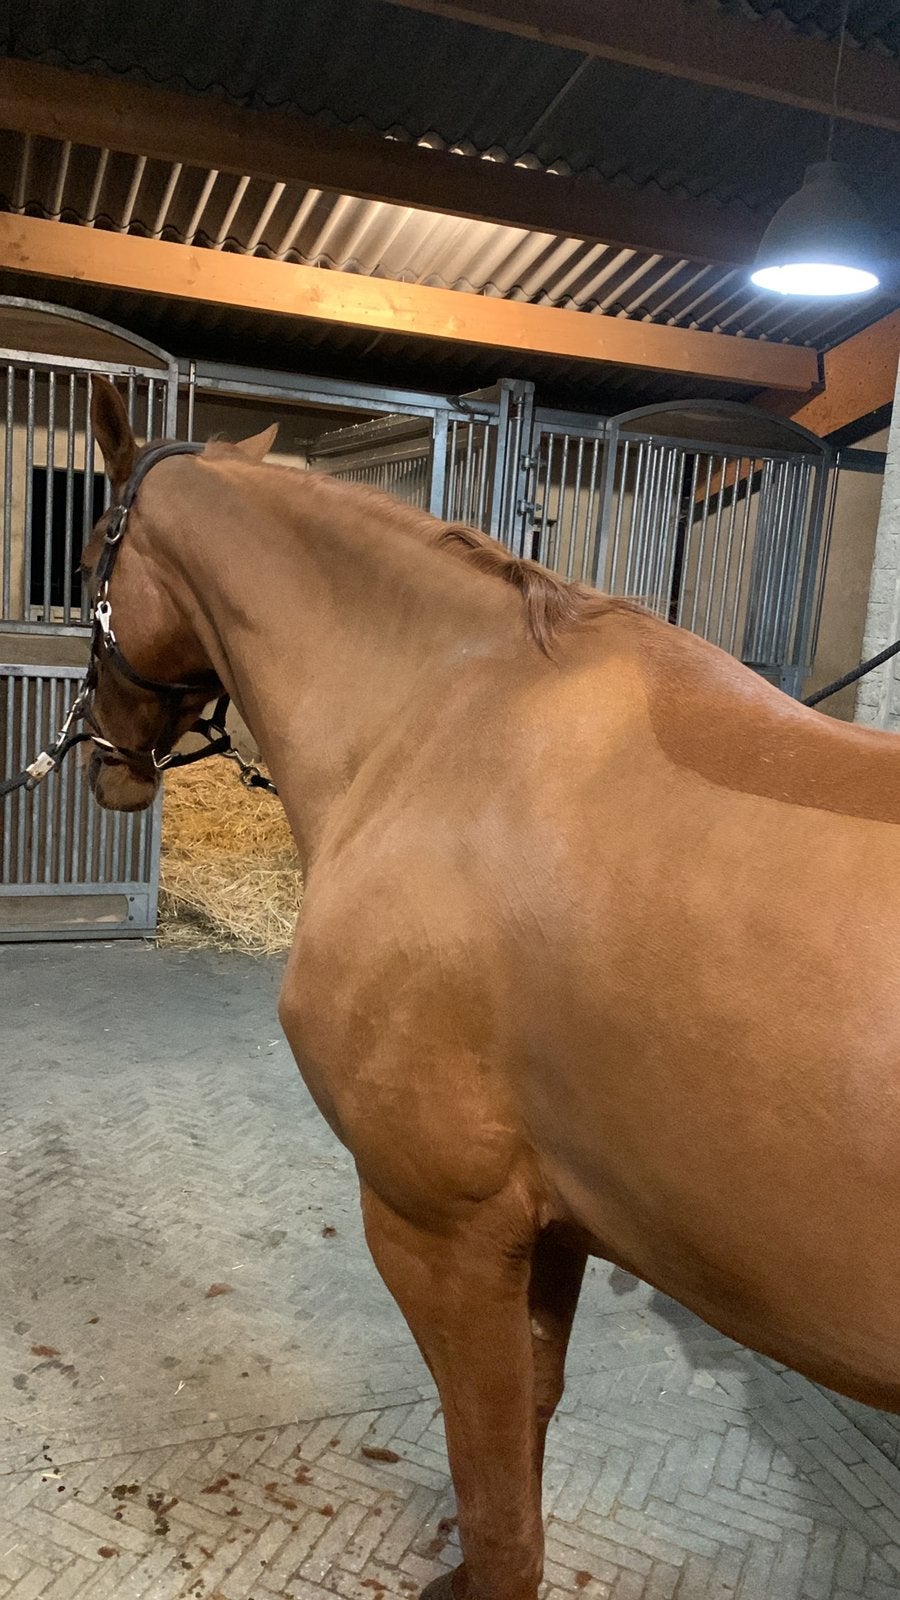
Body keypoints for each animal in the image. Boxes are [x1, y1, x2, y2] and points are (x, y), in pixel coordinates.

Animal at [82, 375, 900, 1600]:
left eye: (93, 544)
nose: (99, 760)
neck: (440, 722)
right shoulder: (553, 1228)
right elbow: (530, 1429)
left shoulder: (441, 1231)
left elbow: (493, 1483)